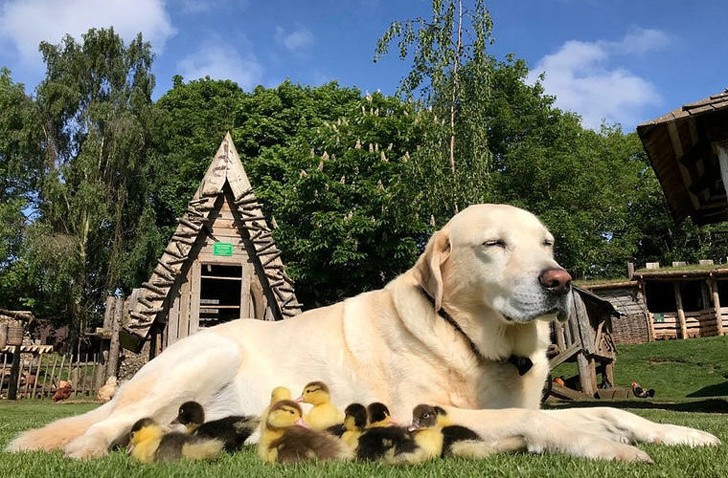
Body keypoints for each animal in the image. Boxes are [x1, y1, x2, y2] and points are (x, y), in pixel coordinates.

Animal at [8, 204, 720, 460]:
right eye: (493, 245)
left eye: (545, 243)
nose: (559, 280)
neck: (479, 344)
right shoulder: (418, 410)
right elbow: (549, 419)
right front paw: (597, 442)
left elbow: (612, 409)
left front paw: (679, 433)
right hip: (208, 351)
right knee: (102, 431)